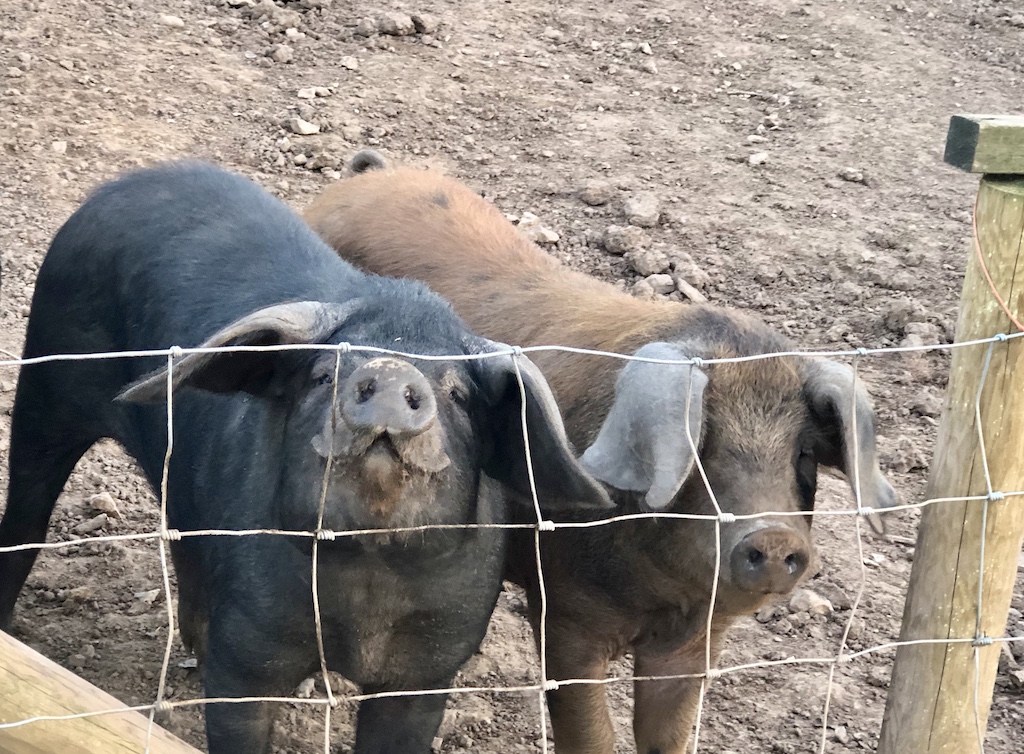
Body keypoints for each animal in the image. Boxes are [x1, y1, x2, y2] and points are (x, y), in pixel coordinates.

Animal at [0, 161, 611, 754]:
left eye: (459, 393)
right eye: (321, 374)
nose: (391, 370)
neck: (368, 573)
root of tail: (126, 184)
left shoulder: (431, 663)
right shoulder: (248, 652)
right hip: (44, 382)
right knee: (26, 516)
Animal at [302, 151, 898, 754]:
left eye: (803, 456)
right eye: (703, 447)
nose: (774, 536)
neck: (665, 597)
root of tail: (365, 177)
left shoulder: (695, 642)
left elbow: (668, 734)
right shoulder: (566, 614)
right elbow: (589, 730)